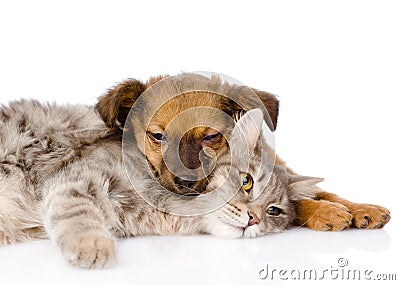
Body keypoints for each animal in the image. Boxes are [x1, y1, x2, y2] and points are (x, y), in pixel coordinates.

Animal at [0, 100, 318, 268]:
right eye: (246, 181)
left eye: (274, 211)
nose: (254, 219)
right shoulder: (77, 178)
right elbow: (78, 216)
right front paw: (93, 246)